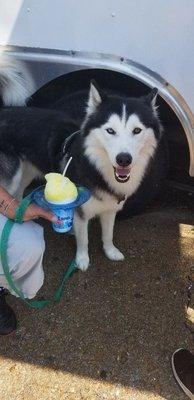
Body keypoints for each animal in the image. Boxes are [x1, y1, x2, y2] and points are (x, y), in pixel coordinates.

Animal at [0, 60, 163, 272]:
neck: (96, 167)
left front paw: (110, 251)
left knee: (18, 193)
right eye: (110, 130)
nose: (124, 159)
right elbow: (84, 239)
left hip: (26, 171)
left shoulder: (109, 208)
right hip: (12, 176)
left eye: (137, 130)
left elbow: (108, 234)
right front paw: (82, 259)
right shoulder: (81, 211)